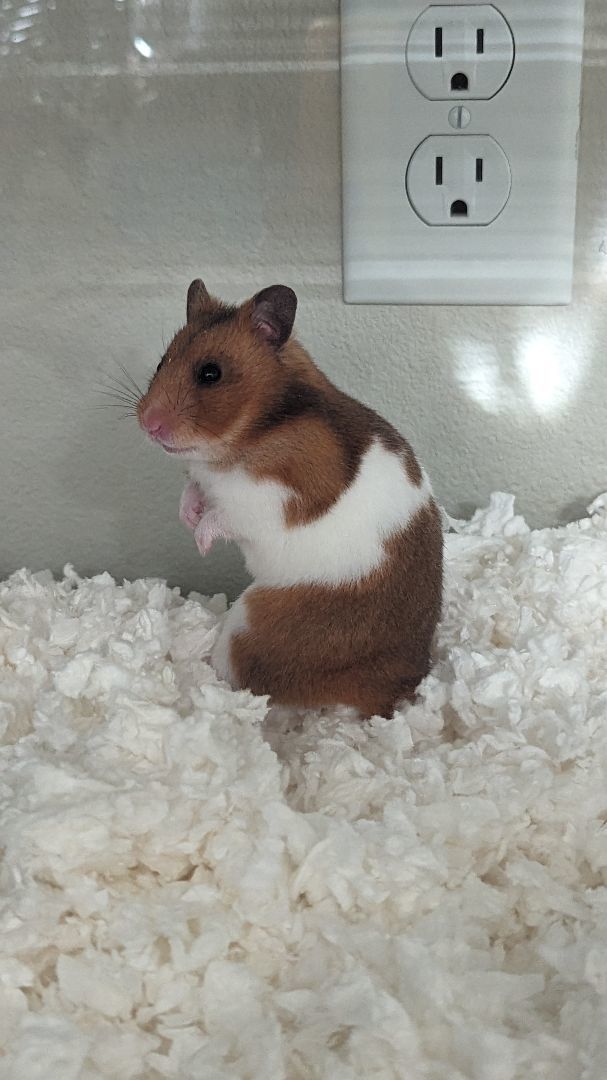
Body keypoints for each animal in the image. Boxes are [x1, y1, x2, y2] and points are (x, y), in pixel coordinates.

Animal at [137, 280, 443, 719]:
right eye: (162, 362)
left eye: (210, 373)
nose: (148, 424)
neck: (252, 430)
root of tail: (401, 692)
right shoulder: (202, 479)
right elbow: (191, 491)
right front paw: (188, 517)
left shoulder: (269, 499)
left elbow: (225, 516)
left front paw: (200, 541)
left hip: (247, 630)